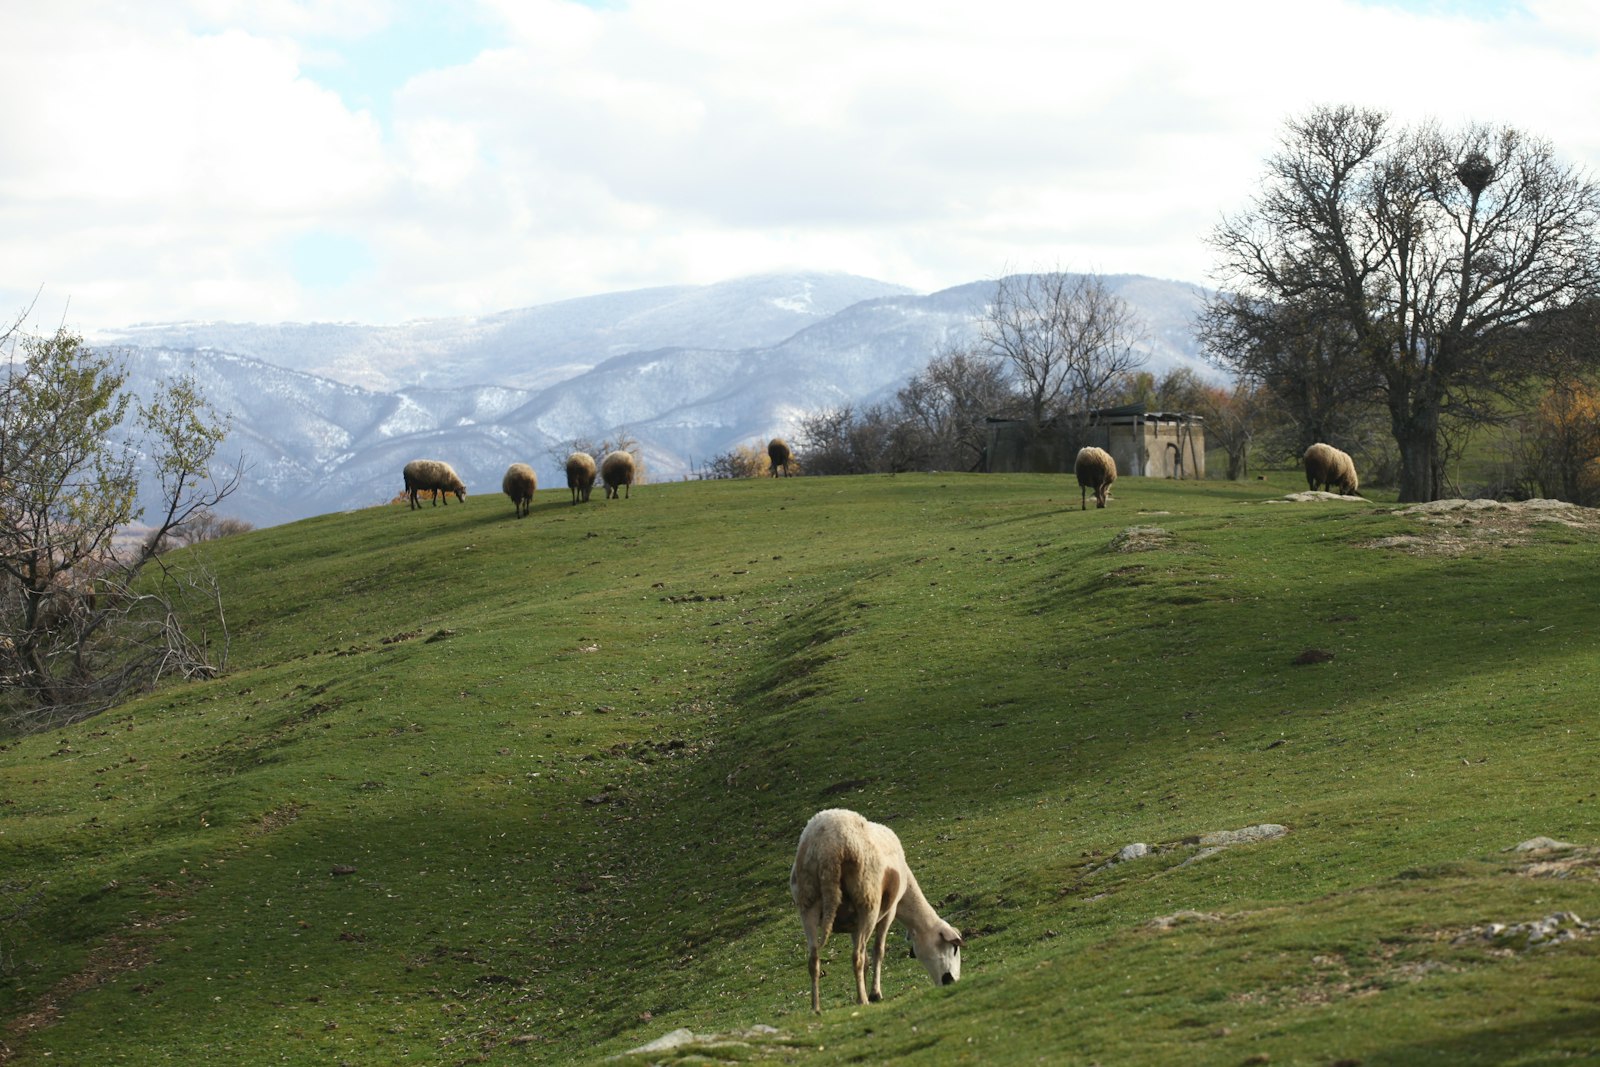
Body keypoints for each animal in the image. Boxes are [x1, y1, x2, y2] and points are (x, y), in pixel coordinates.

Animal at [790, 808, 964, 1013]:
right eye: (954, 948)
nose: (951, 981)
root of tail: (829, 847)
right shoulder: (890, 912)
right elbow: (877, 951)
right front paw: (874, 994)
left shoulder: (854, 925)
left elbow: (866, 958)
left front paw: (865, 989)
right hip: (867, 901)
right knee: (856, 957)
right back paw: (862, 1001)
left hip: (807, 901)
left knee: (814, 958)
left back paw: (816, 1007)